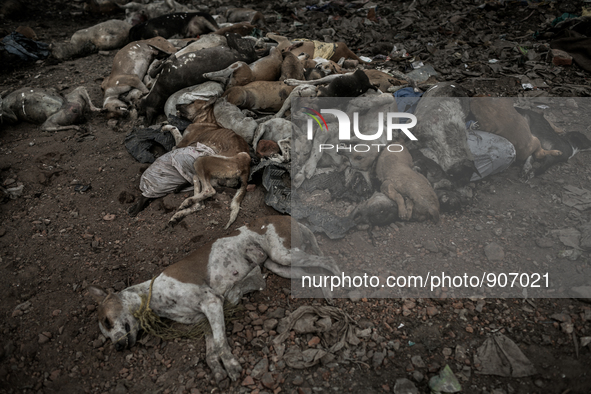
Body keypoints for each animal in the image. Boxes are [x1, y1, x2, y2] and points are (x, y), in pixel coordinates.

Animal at [85, 217, 340, 384]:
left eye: (107, 321)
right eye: (106, 333)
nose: (117, 347)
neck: (152, 295)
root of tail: (286, 216)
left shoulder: (212, 303)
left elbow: (220, 343)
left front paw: (232, 366)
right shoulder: (203, 320)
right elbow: (210, 352)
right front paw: (218, 370)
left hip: (284, 254)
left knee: (328, 261)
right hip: (279, 265)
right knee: (313, 273)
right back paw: (326, 293)